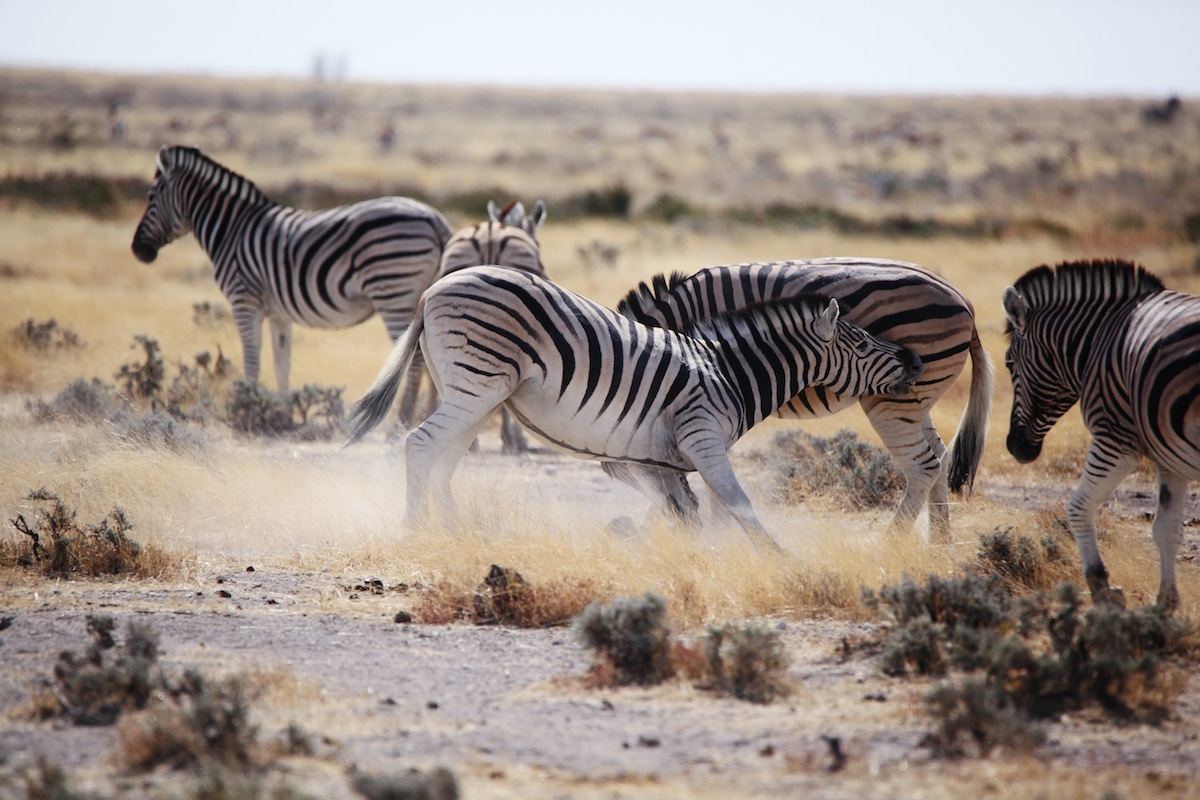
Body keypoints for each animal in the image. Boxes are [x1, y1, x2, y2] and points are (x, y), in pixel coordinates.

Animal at [129, 144, 451, 422]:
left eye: (151, 196)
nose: (137, 250)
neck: (231, 229)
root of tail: (435, 219)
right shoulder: (279, 314)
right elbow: (281, 364)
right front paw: (281, 414)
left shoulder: (244, 300)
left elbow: (252, 360)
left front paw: (245, 409)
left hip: (393, 291)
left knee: (416, 360)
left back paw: (401, 423)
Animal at [343, 262, 921, 551]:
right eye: (862, 343)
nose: (915, 359)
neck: (729, 372)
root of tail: (431, 290)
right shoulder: (700, 436)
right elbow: (738, 505)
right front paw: (778, 559)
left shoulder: (655, 456)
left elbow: (678, 509)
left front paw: (679, 556)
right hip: (478, 382)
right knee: (421, 445)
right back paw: (414, 532)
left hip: (475, 392)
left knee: (443, 458)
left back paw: (458, 534)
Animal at [619, 260, 993, 542]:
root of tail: (964, 301)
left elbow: (697, 480)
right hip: (917, 399)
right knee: (940, 457)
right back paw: (939, 543)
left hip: (894, 403)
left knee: (922, 466)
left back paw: (889, 545)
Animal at [1003, 260, 1200, 609]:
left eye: (1009, 363)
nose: (1014, 447)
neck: (1098, 337)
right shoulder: (1170, 460)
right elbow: (1166, 529)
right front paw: (1165, 604)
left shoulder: (1115, 440)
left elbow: (1078, 507)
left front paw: (1101, 586)